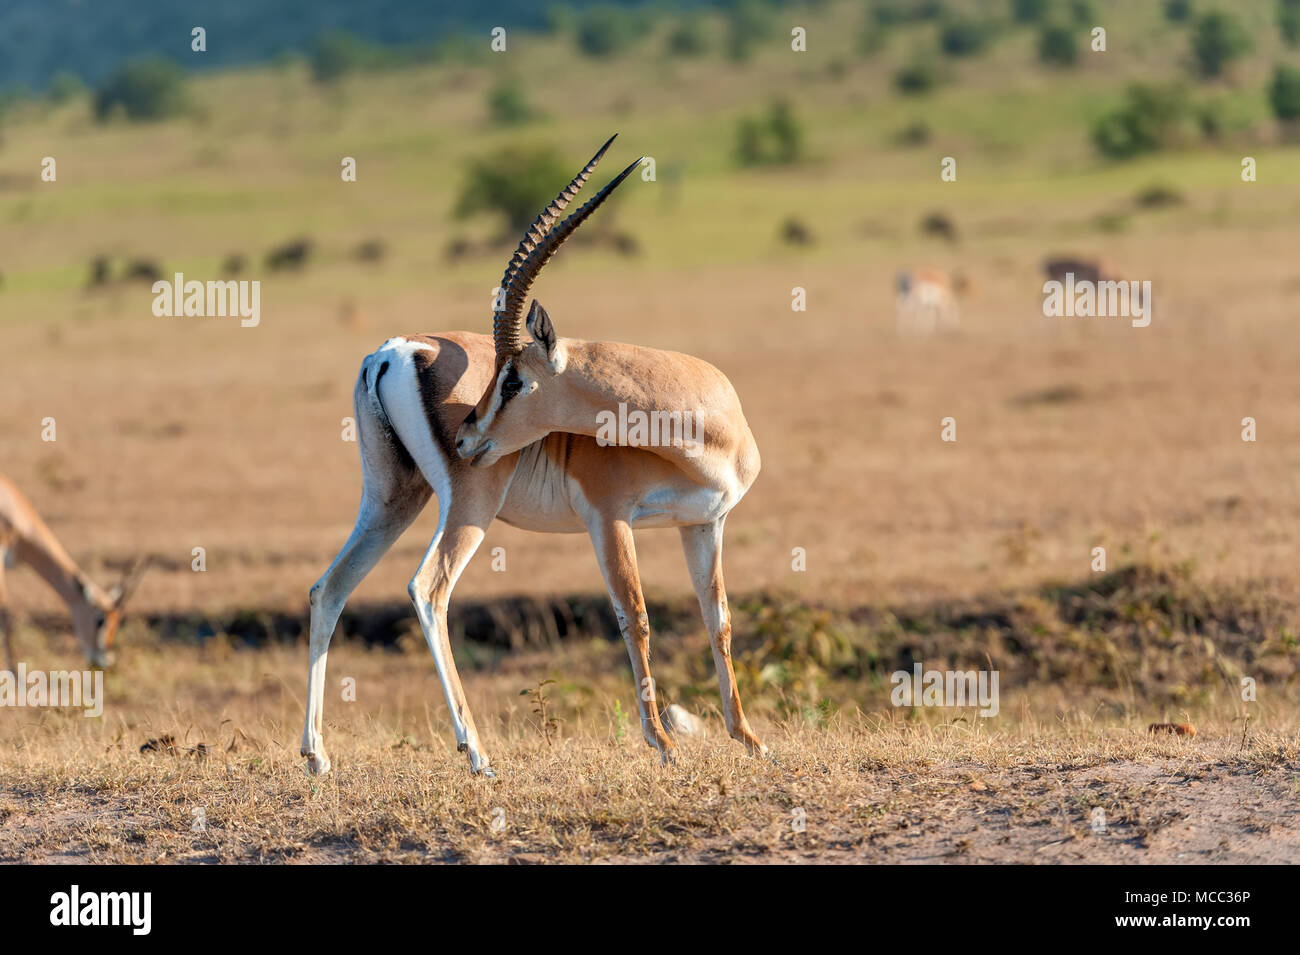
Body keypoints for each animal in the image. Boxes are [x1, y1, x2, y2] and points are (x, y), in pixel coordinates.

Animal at [302, 136, 764, 778]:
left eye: (515, 378)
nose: (467, 436)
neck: (702, 427)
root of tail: (393, 351)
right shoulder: (610, 517)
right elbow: (636, 616)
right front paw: (664, 744)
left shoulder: (704, 522)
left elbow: (717, 618)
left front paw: (748, 737)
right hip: (469, 501)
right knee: (428, 589)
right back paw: (478, 755)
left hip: (393, 498)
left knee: (330, 588)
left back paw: (317, 756)